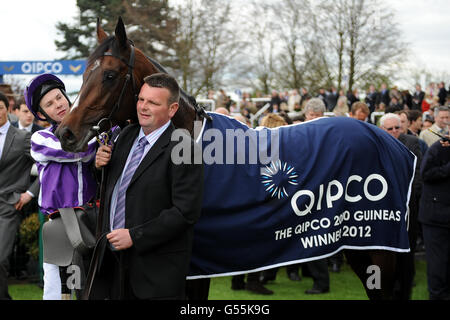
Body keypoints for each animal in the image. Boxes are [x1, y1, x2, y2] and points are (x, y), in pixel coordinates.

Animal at [56, 17, 412, 300]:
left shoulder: (192, 268)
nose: (65, 132)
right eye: (84, 74)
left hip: (377, 249)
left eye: (110, 75)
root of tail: (392, 144)